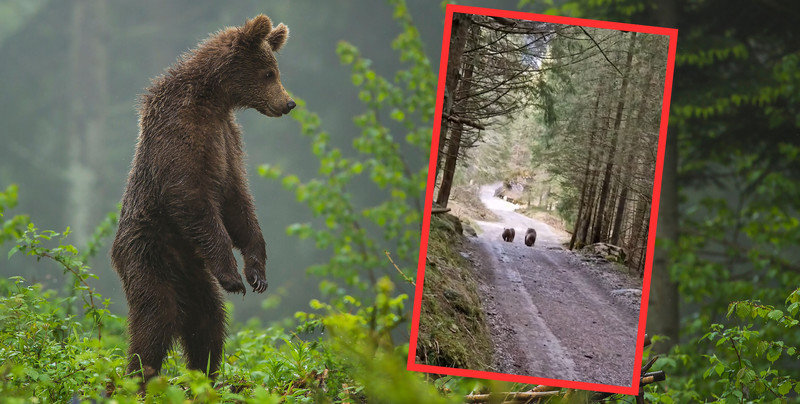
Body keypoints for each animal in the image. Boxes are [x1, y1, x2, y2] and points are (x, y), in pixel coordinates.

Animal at [111, 14, 296, 384]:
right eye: (269, 73)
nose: (288, 103)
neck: (213, 100)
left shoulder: (227, 141)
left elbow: (239, 203)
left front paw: (256, 275)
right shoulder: (181, 135)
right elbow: (191, 197)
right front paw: (234, 276)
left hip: (194, 274)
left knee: (208, 320)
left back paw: (206, 374)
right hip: (148, 253)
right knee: (156, 316)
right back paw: (139, 377)